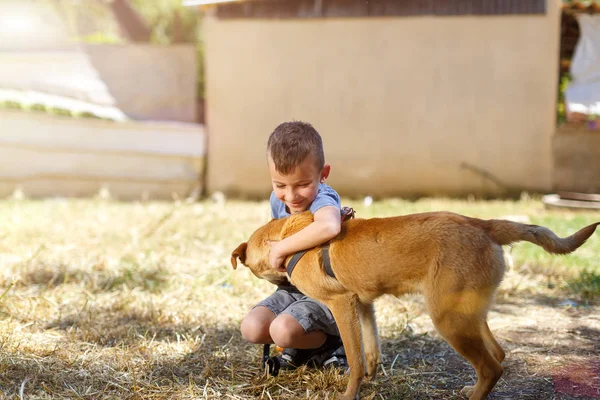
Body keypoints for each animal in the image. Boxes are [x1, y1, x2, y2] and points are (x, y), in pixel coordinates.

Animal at [231, 211, 600, 398]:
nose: (284, 286)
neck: (289, 237)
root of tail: (483, 223)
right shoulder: (363, 305)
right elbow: (371, 351)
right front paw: (370, 380)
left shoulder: (341, 304)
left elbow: (354, 357)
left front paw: (349, 393)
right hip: (467, 313)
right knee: (497, 355)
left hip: (448, 319)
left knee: (491, 367)